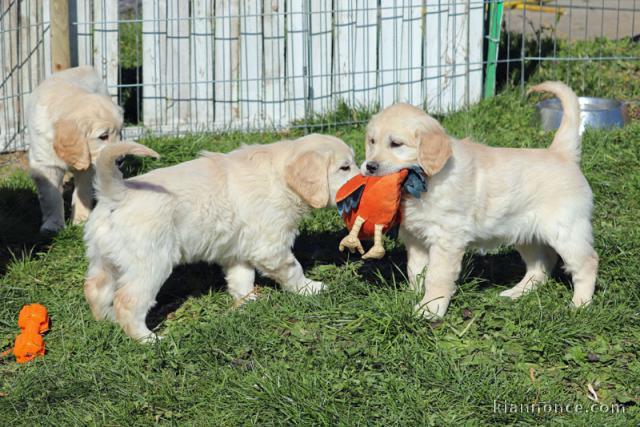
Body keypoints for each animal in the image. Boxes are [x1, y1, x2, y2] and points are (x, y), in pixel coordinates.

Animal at [26, 67, 124, 234]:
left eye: (119, 133)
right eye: (103, 136)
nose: (121, 160)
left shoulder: (89, 165)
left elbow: (82, 192)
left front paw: (80, 221)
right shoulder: (45, 164)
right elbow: (51, 196)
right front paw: (53, 225)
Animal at [82, 134, 358, 342]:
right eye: (344, 167)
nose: (364, 174)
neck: (279, 178)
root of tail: (117, 193)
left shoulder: (239, 249)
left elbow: (241, 277)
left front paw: (248, 302)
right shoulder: (270, 244)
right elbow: (292, 268)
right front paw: (311, 288)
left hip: (105, 259)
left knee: (95, 289)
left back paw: (106, 322)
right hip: (151, 262)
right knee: (128, 302)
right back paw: (148, 339)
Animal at [364, 82, 600, 320]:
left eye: (396, 144)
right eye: (372, 141)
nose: (370, 166)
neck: (428, 180)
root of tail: (561, 153)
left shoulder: (447, 238)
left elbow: (436, 276)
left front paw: (430, 309)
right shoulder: (415, 238)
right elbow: (415, 270)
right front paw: (414, 296)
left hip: (566, 230)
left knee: (587, 263)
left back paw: (579, 305)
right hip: (523, 231)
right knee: (541, 264)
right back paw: (516, 293)